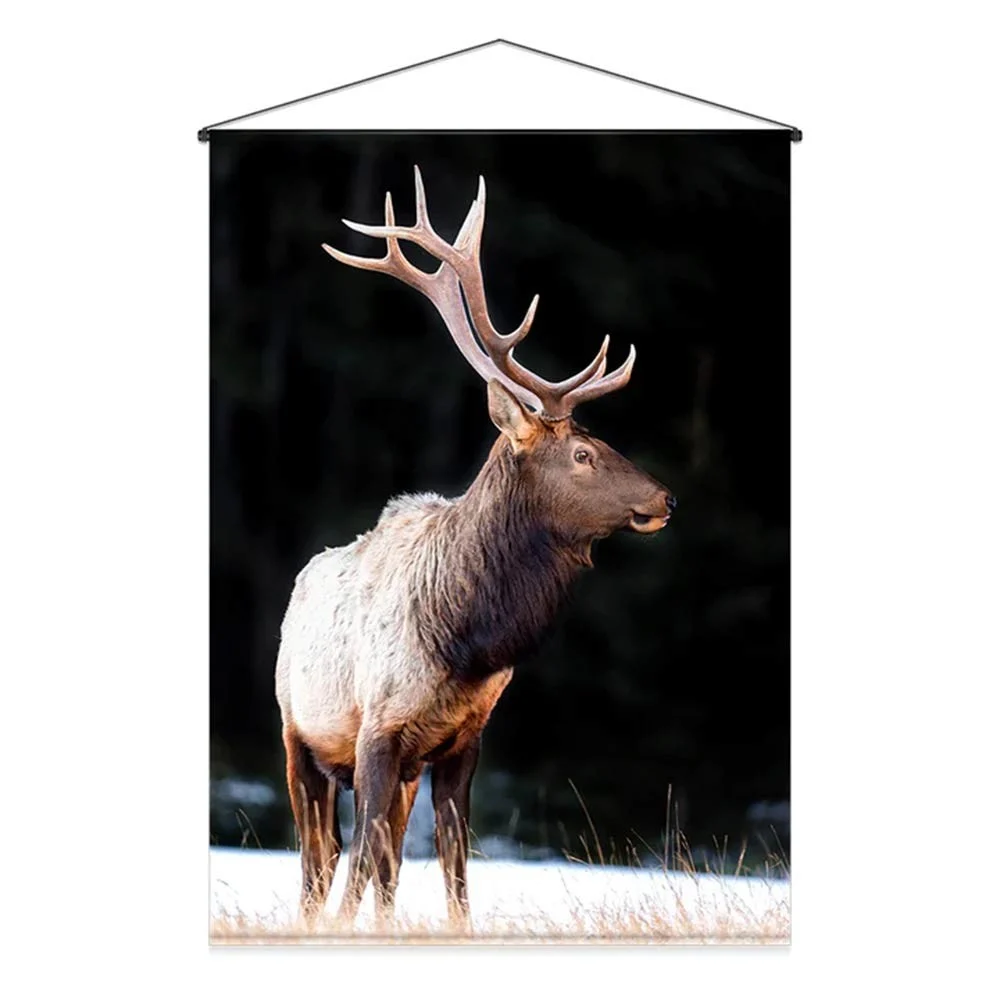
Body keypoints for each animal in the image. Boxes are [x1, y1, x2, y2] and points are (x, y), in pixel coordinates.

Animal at [274, 166, 676, 930]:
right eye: (582, 453)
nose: (667, 498)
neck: (463, 639)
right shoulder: (374, 728)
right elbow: (362, 862)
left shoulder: (462, 739)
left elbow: (454, 870)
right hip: (297, 733)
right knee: (319, 861)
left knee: (376, 862)